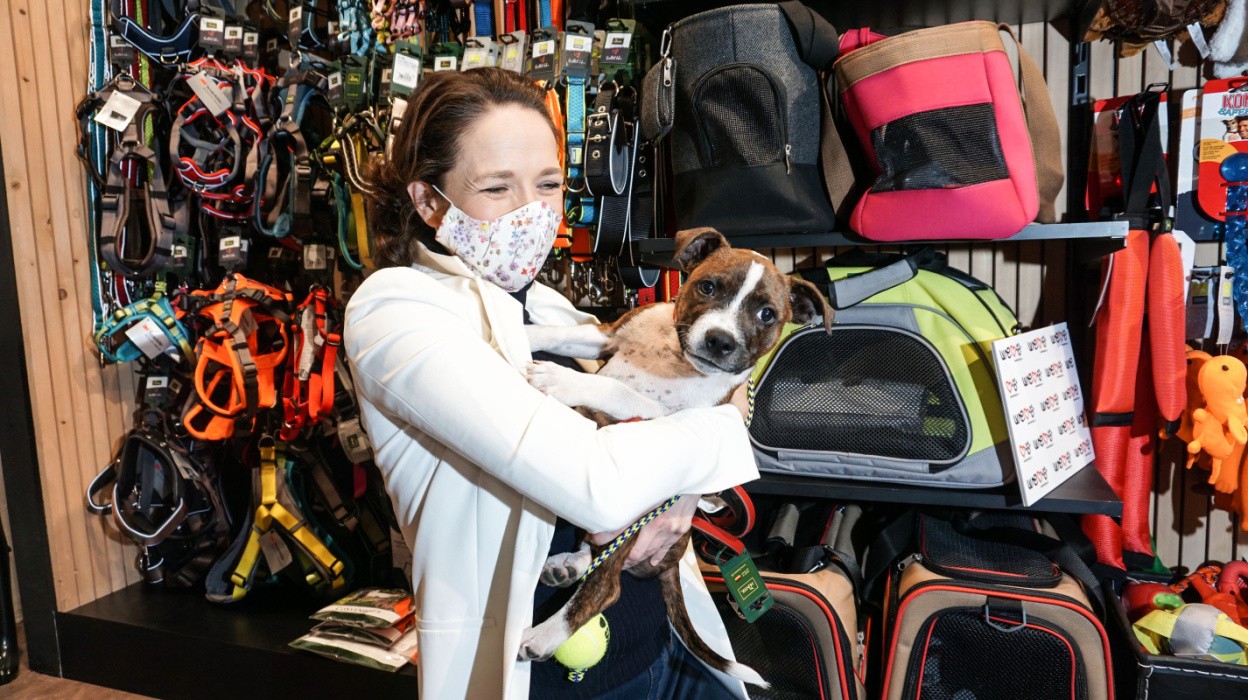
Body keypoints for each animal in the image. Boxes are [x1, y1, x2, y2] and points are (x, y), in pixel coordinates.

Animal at [517, 227, 833, 687]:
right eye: (707, 287)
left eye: (767, 315)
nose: (720, 341)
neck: (674, 357)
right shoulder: (605, 335)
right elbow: (552, 332)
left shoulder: (665, 419)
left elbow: (617, 389)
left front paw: (561, 379)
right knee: (597, 551)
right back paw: (569, 566)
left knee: (607, 586)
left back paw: (546, 634)